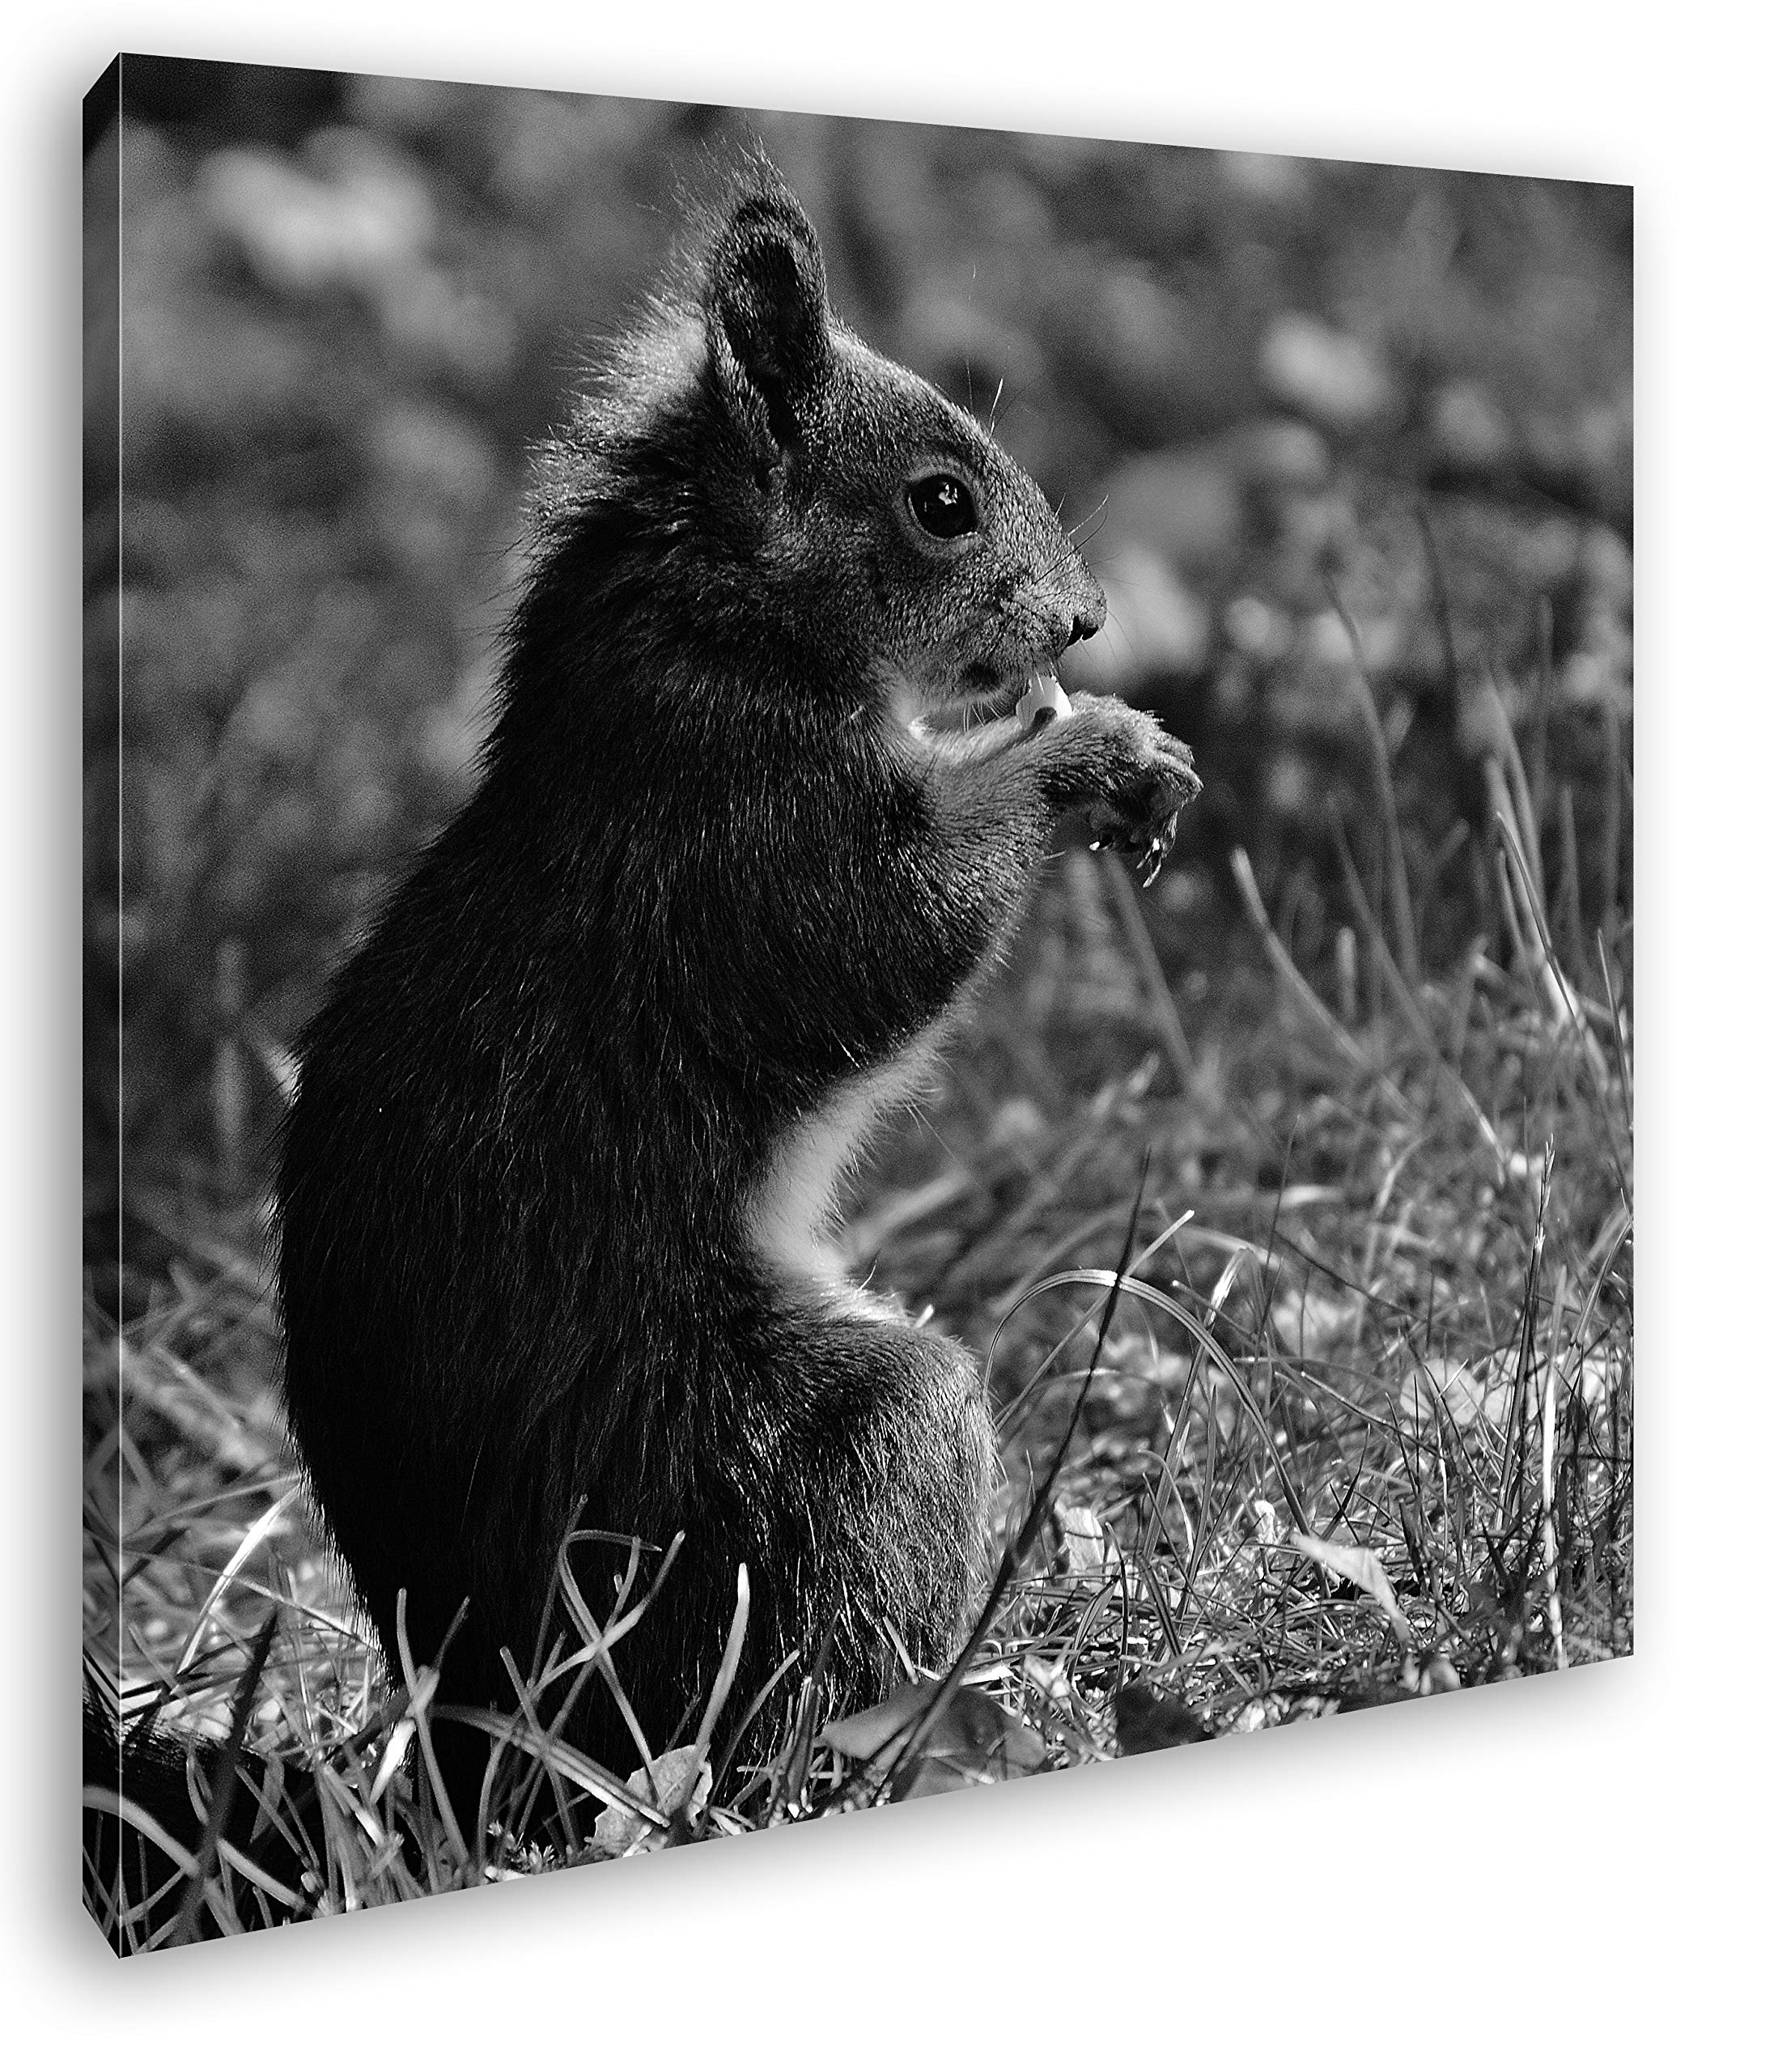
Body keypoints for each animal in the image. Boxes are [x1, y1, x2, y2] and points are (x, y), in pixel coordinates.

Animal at [92, 162, 1199, 1926]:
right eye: (940, 503)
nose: (1086, 623)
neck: (721, 632)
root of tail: (491, 1750)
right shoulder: (736, 848)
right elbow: (891, 925)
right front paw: (1083, 752)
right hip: (782, 1463)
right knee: (785, 1698)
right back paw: (942, 1723)